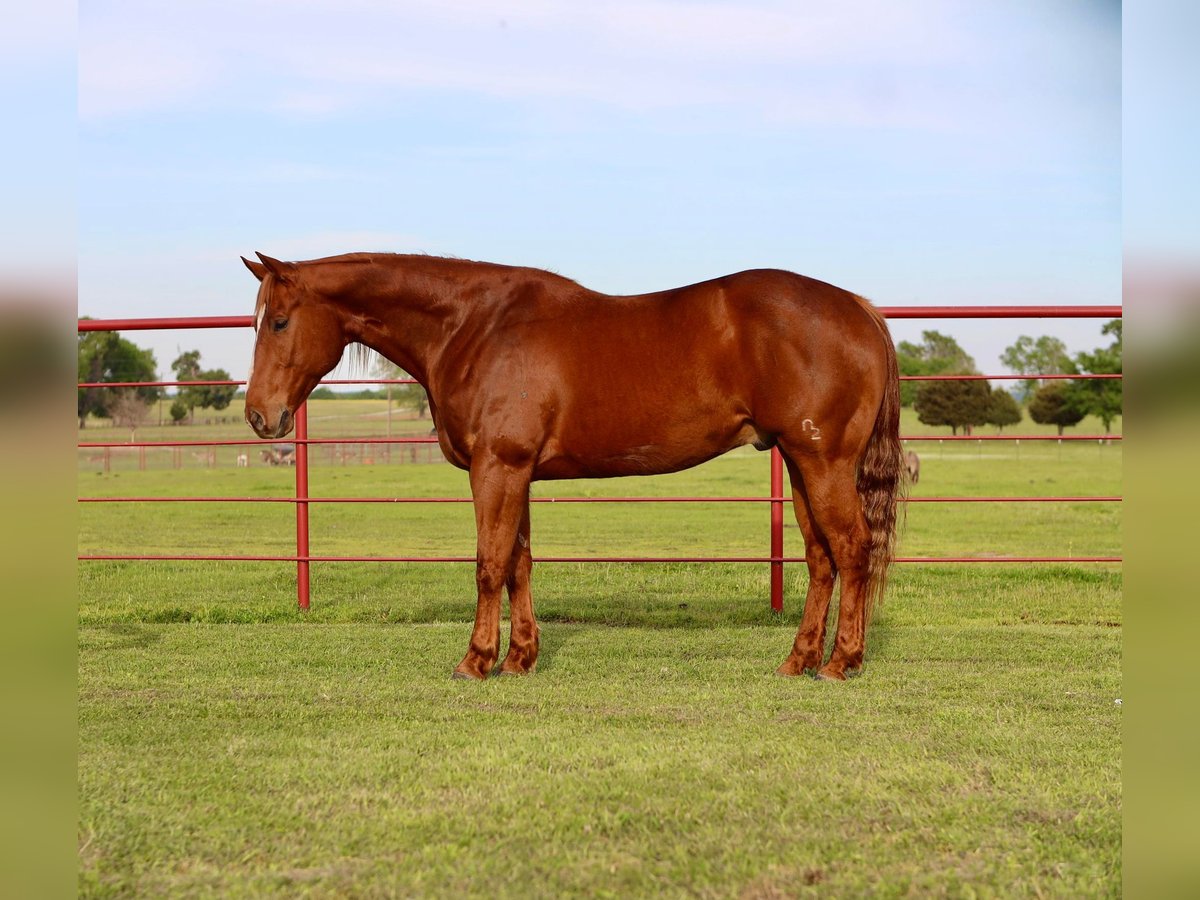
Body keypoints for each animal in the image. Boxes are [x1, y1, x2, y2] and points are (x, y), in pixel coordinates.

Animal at [243, 250, 902, 681]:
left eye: (278, 321)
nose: (259, 416)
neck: (474, 326)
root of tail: (859, 309)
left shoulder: (497, 467)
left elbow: (488, 565)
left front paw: (476, 661)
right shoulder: (517, 472)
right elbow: (519, 563)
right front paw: (519, 658)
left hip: (823, 461)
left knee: (851, 549)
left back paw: (841, 662)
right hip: (798, 461)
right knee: (821, 557)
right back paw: (798, 660)